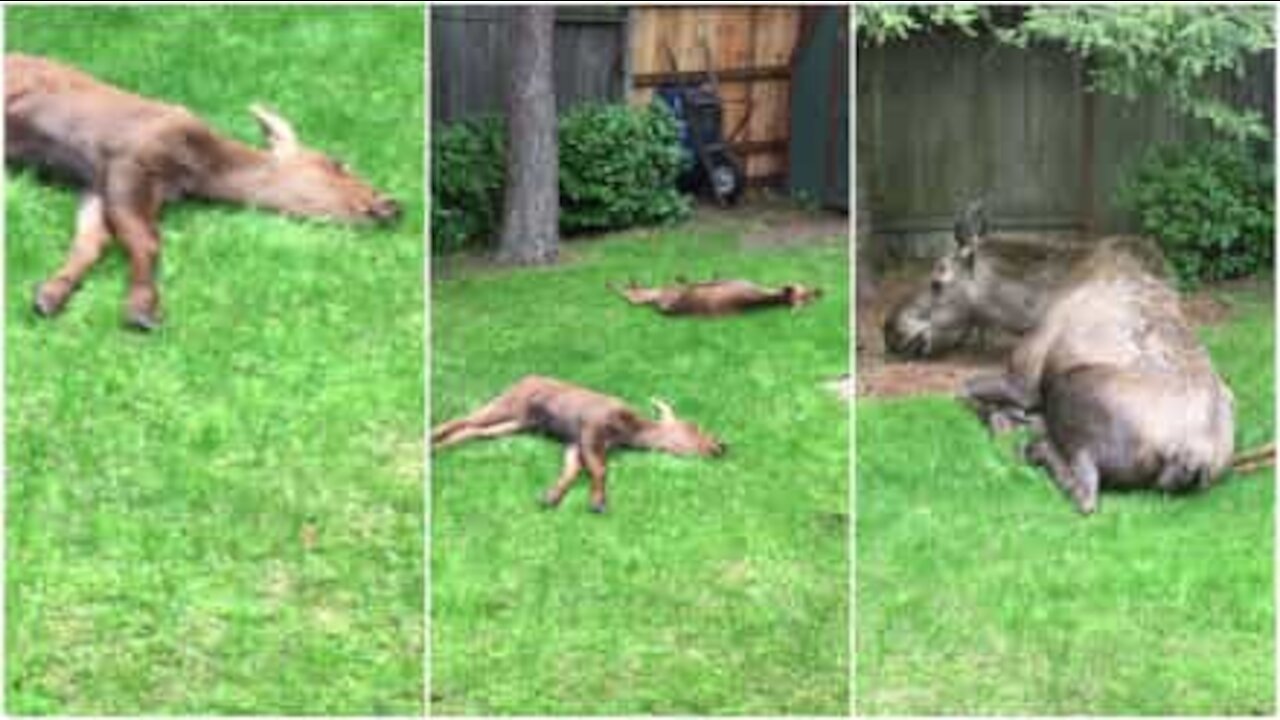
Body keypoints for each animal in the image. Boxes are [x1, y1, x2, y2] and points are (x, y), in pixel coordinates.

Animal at [5, 54, 399, 330]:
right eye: (336, 163)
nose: (392, 204)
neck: (199, 169)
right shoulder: (128, 157)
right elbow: (148, 240)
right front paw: (142, 311)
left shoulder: (96, 184)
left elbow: (91, 241)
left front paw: (48, 294)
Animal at [432, 371, 727, 512]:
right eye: (693, 427)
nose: (722, 445)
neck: (627, 431)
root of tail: (521, 379)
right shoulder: (589, 428)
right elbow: (600, 468)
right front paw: (598, 502)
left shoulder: (574, 443)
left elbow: (573, 470)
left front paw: (551, 496)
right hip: (508, 403)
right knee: (462, 419)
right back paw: (431, 438)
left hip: (515, 423)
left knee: (471, 431)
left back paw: (437, 447)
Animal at [962, 238, 1239, 512]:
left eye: (946, 280)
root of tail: (1194, 457)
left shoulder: (1023, 380)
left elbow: (965, 389)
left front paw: (1002, 421)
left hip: (1070, 388)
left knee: (1084, 492)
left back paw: (1033, 446)